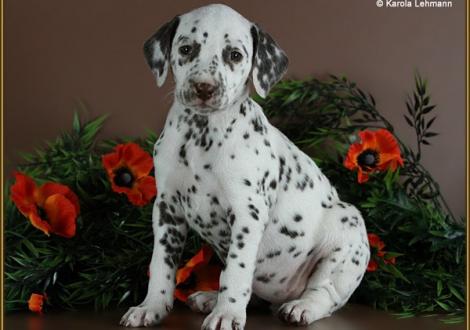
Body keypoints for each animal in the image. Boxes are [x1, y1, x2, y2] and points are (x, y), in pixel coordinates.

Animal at [119, 3, 370, 330]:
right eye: (186, 49)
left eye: (235, 55)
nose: (204, 88)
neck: (200, 136)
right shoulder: (167, 209)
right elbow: (161, 264)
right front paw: (151, 307)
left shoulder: (247, 212)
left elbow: (236, 270)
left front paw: (227, 314)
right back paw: (210, 298)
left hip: (346, 230)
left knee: (324, 294)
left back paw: (301, 307)